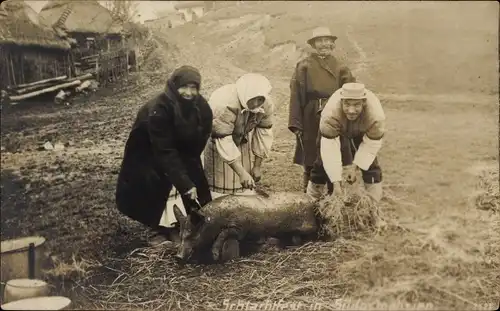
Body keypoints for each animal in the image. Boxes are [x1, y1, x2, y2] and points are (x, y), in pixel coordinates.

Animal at [172, 193, 320, 264]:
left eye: (193, 235)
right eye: (180, 235)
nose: (178, 257)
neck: (214, 221)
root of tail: (313, 199)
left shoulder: (239, 228)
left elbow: (224, 233)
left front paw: (214, 255)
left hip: (309, 226)